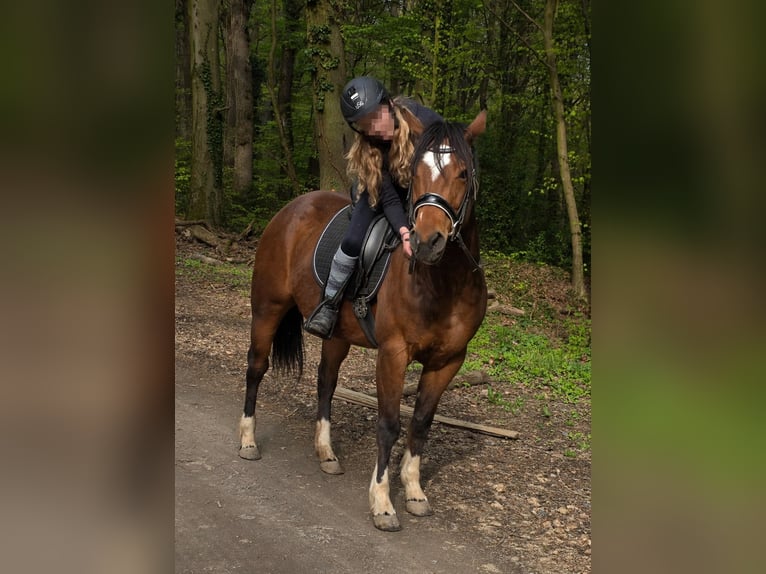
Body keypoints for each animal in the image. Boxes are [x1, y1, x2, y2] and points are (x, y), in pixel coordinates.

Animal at [239, 111, 487, 531]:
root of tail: (291, 209)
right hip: (267, 309)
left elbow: (421, 422)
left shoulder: (449, 360)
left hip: (337, 334)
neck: (444, 284)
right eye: (416, 173)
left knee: (326, 381)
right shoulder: (393, 354)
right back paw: (247, 441)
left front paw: (415, 492)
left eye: (463, 173)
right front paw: (383, 503)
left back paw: (326, 452)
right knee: (257, 368)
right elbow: (388, 424)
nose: (427, 242)